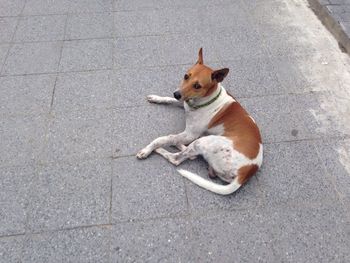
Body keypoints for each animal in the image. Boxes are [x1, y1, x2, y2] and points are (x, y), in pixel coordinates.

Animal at [137, 48, 262, 196]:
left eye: (197, 85)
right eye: (186, 76)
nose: (176, 94)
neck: (202, 101)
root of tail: (247, 171)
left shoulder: (189, 134)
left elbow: (163, 138)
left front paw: (148, 149)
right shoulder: (184, 104)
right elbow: (168, 100)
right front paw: (156, 98)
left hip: (203, 141)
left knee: (177, 158)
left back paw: (160, 150)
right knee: (190, 155)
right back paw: (177, 144)